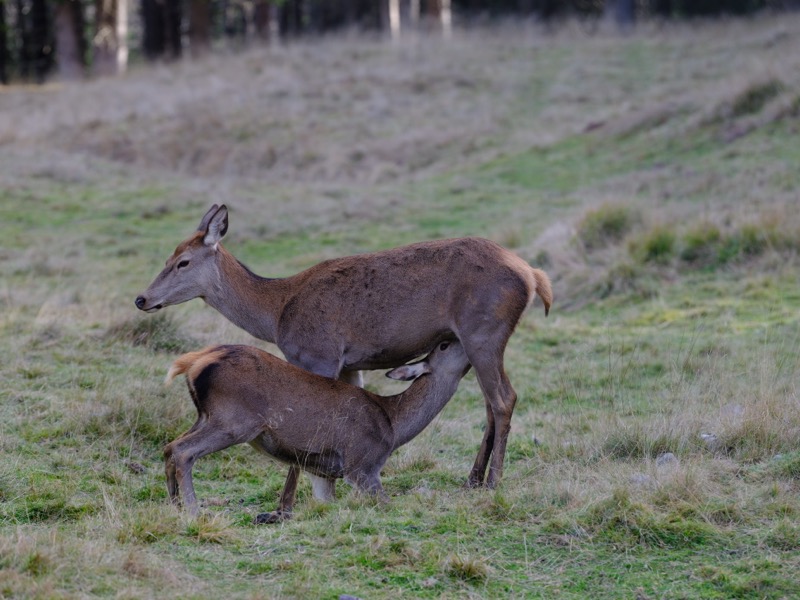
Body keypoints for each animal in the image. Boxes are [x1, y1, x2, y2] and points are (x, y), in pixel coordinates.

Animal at [136, 206, 552, 492]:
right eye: (169, 256)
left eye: (183, 261)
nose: (142, 299)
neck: (276, 312)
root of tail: (534, 276)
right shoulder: (353, 363)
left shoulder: (317, 352)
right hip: (481, 341)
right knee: (491, 403)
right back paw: (473, 478)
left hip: (483, 332)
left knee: (503, 398)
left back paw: (492, 482)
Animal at [166, 342, 472, 520]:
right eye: (445, 344)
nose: (464, 338)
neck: (393, 425)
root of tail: (193, 362)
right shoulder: (362, 463)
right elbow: (388, 504)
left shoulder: (323, 473)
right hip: (234, 421)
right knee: (183, 451)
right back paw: (193, 511)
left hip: (206, 416)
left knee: (169, 447)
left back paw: (174, 504)